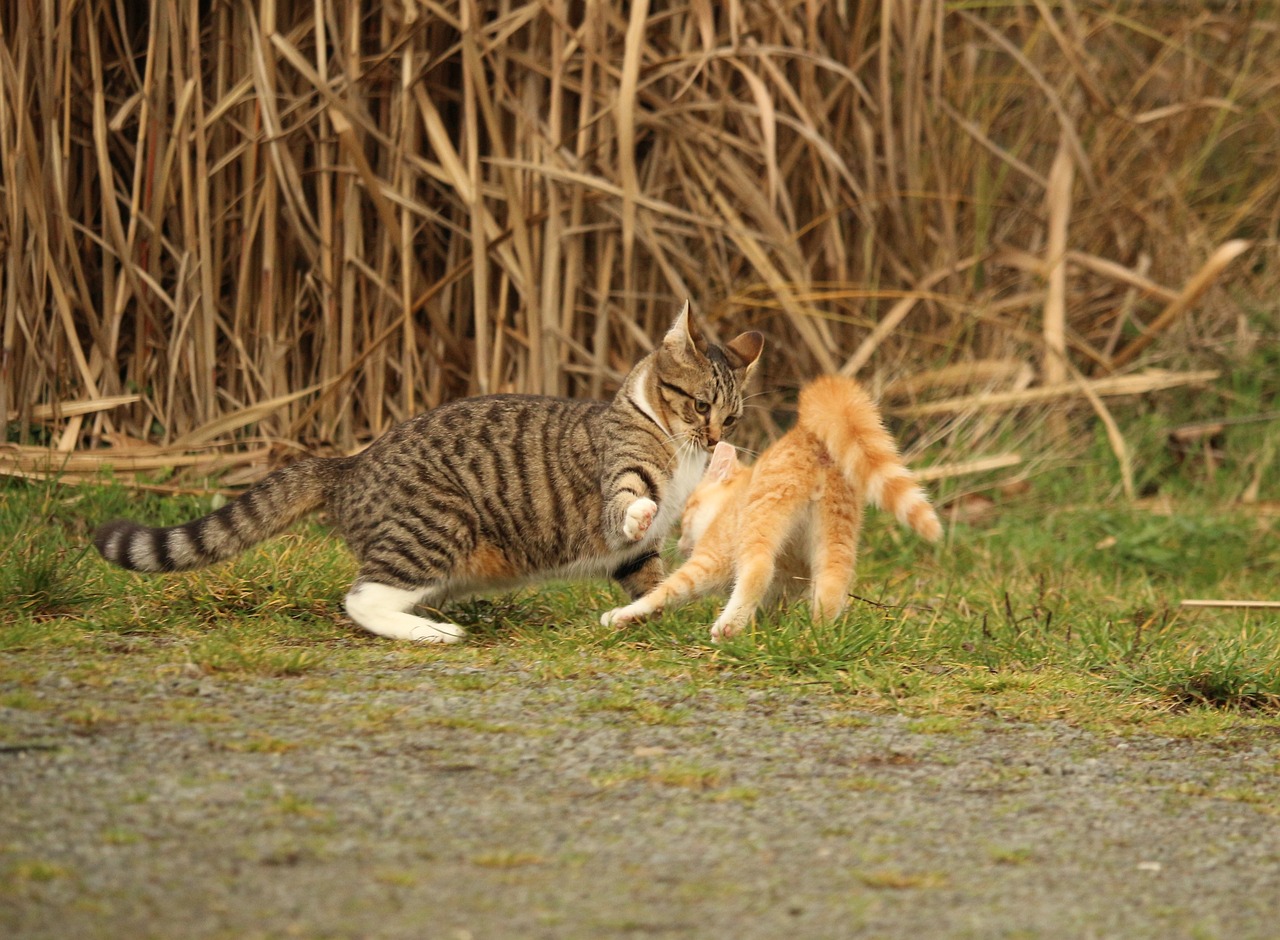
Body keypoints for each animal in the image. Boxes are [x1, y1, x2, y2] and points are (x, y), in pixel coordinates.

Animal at [99, 306, 762, 645]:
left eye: (730, 416)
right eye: (699, 405)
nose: (715, 439)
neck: (678, 451)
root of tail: (350, 463)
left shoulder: (633, 556)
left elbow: (649, 581)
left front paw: (649, 614)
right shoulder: (620, 475)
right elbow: (628, 500)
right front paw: (642, 511)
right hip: (436, 525)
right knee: (361, 598)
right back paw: (430, 634)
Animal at [599, 379, 942, 645]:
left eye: (688, 513)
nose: (682, 542)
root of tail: (811, 438)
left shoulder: (714, 555)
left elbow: (668, 590)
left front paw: (623, 616)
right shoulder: (789, 580)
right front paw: (768, 626)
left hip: (761, 519)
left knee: (758, 568)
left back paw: (728, 627)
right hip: (836, 532)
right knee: (833, 582)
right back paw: (815, 636)